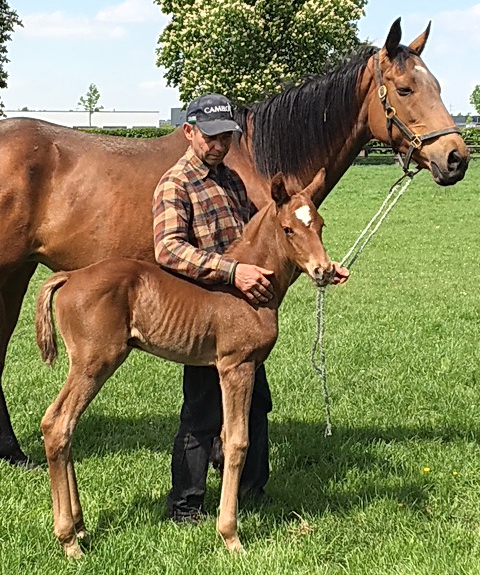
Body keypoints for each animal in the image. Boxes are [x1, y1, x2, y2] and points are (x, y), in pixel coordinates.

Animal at [35, 170, 334, 560]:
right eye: (288, 229)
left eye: (320, 224)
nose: (324, 270)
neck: (246, 293)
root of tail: (70, 276)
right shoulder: (236, 366)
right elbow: (237, 441)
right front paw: (230, 535)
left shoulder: (231, 368)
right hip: (94, 362)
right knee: (57, 424)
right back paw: (69, 540)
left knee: (64, 427)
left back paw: (81, 527)